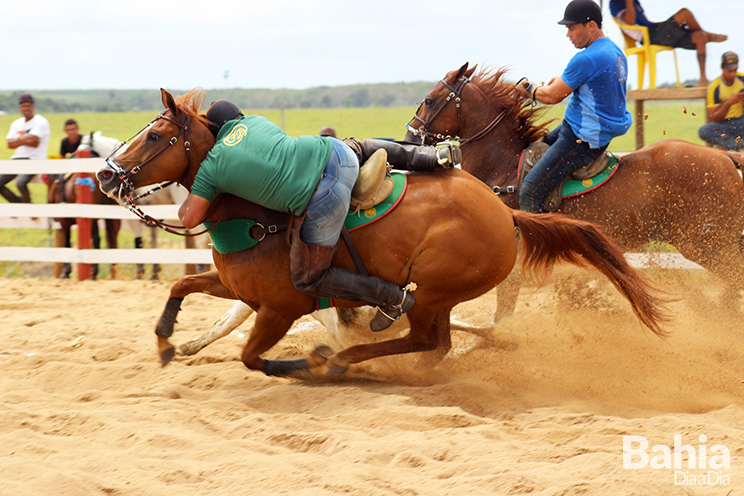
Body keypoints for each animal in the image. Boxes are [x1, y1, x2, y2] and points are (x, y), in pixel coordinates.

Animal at [96, 88, 672, 376]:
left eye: (156, 135)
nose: (104, 175)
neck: (255, 216)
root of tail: (508, 214)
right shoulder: (242, 290)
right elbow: (182, 286)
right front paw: (169, 342)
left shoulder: (281, 307)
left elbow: (253, 357)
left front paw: (307, 361)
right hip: (439, 296)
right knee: (433, 344)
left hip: (435, 288)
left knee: (423, 336)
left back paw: (345, 360)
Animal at [404, 64, 744, 320]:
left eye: (430, 100)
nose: (410, 137)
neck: (503, 167)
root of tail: (726, 158)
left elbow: (503, 307)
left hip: (709, 244)